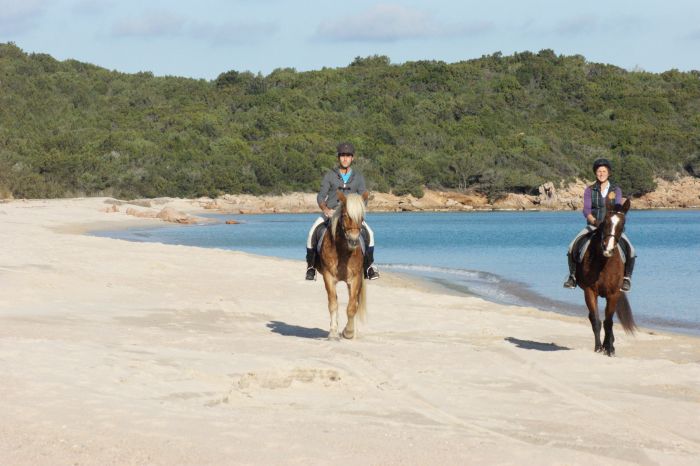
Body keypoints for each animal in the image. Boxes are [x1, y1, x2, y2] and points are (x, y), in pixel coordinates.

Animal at [318, 191, 370, 340]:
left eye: (362, 217)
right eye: (345, 215)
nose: (353, 241)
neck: (343, 251)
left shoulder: (355, 279)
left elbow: (352, 307)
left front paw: (349, 332)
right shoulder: (328, 277)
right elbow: (333, 304)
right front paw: (333, 332)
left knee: (355, 302)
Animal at [576, 195, 636, 354]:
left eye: (623, 224)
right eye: (606, 222)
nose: (608, 249)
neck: (604, 262)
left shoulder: (614, 294)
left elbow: (609, 322)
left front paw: (608, 348)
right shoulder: (590, 291)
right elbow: (596, 320)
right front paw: (598, 348)